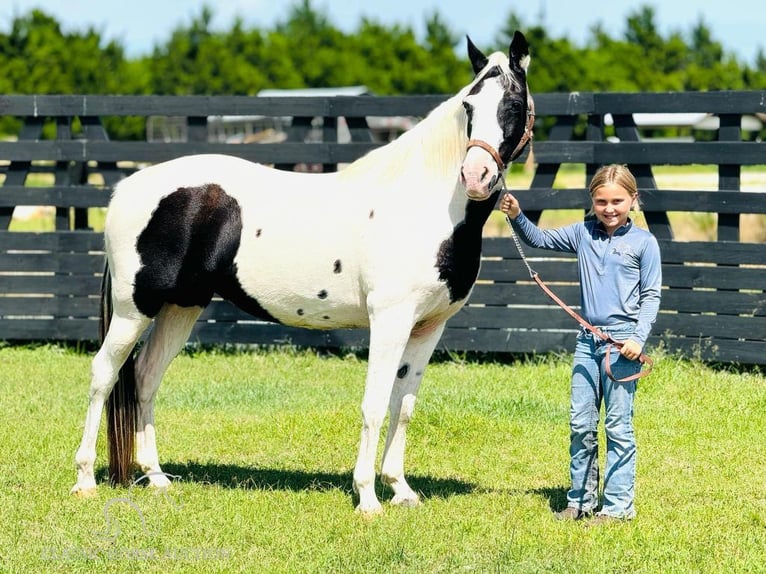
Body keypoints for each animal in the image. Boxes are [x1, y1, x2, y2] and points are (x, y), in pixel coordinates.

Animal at [75, 32, 536, 516]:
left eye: (514, 103)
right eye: (469, 105)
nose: (475, 175)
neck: (425, 205)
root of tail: (127, 188)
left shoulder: (428, 326)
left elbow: (404, 405)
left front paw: (401, 489)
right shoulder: (390, 322)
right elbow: (375, 404)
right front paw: (368, 498)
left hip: (181, 307)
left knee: (146, 376)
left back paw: (157, 477)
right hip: (134, 309)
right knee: (104, 373)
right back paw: (85, 479)